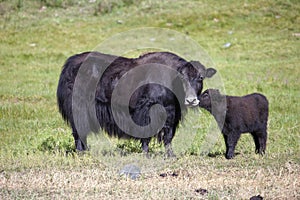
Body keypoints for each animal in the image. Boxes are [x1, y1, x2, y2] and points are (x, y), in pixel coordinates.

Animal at [56, 51, 216, 156]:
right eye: (182, 78)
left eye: (201, 77)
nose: (191, 100)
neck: (171, 79)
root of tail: (70, 64)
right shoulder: (147, 109)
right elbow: (147, 133)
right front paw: (146, 153)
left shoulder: (172, 112)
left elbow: (168, 135)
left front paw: (171, 155)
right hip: (77, 108)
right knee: (78, 129)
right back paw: (81, 152)